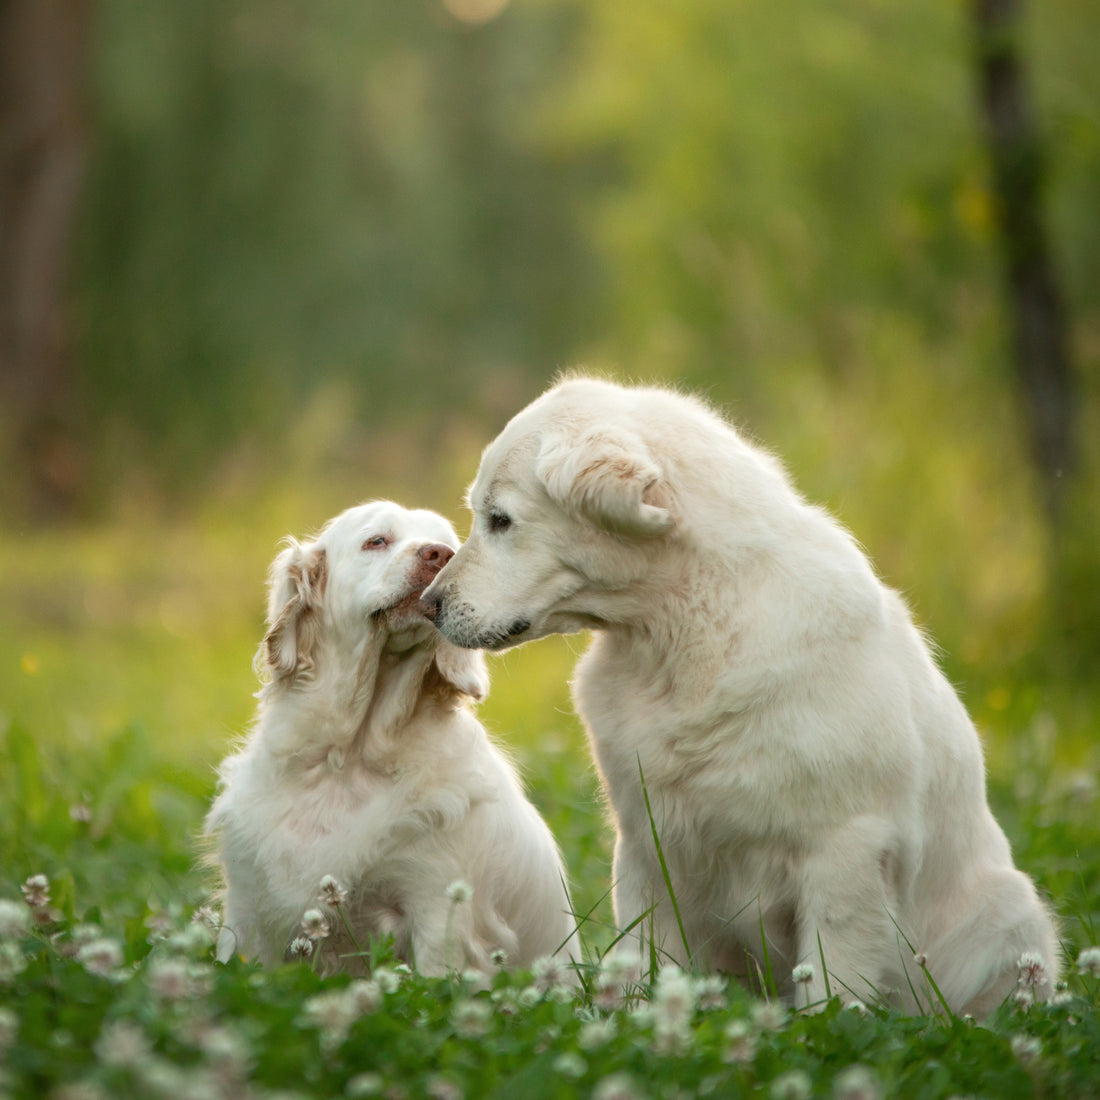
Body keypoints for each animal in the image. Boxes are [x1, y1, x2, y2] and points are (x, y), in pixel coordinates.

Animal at [209, 503, 580, 976]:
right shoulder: (248, 911)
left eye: (452, 548)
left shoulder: (437, 907)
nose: (437, 554)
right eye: (376, 541)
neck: (350, 756)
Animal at [420, 376, 1056, 1012]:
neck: (684, 633)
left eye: (500, 520)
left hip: (1009, 915)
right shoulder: (649, 843)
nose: (429, 604)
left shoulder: (845, 849)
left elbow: (834, 979)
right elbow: (651, 959)